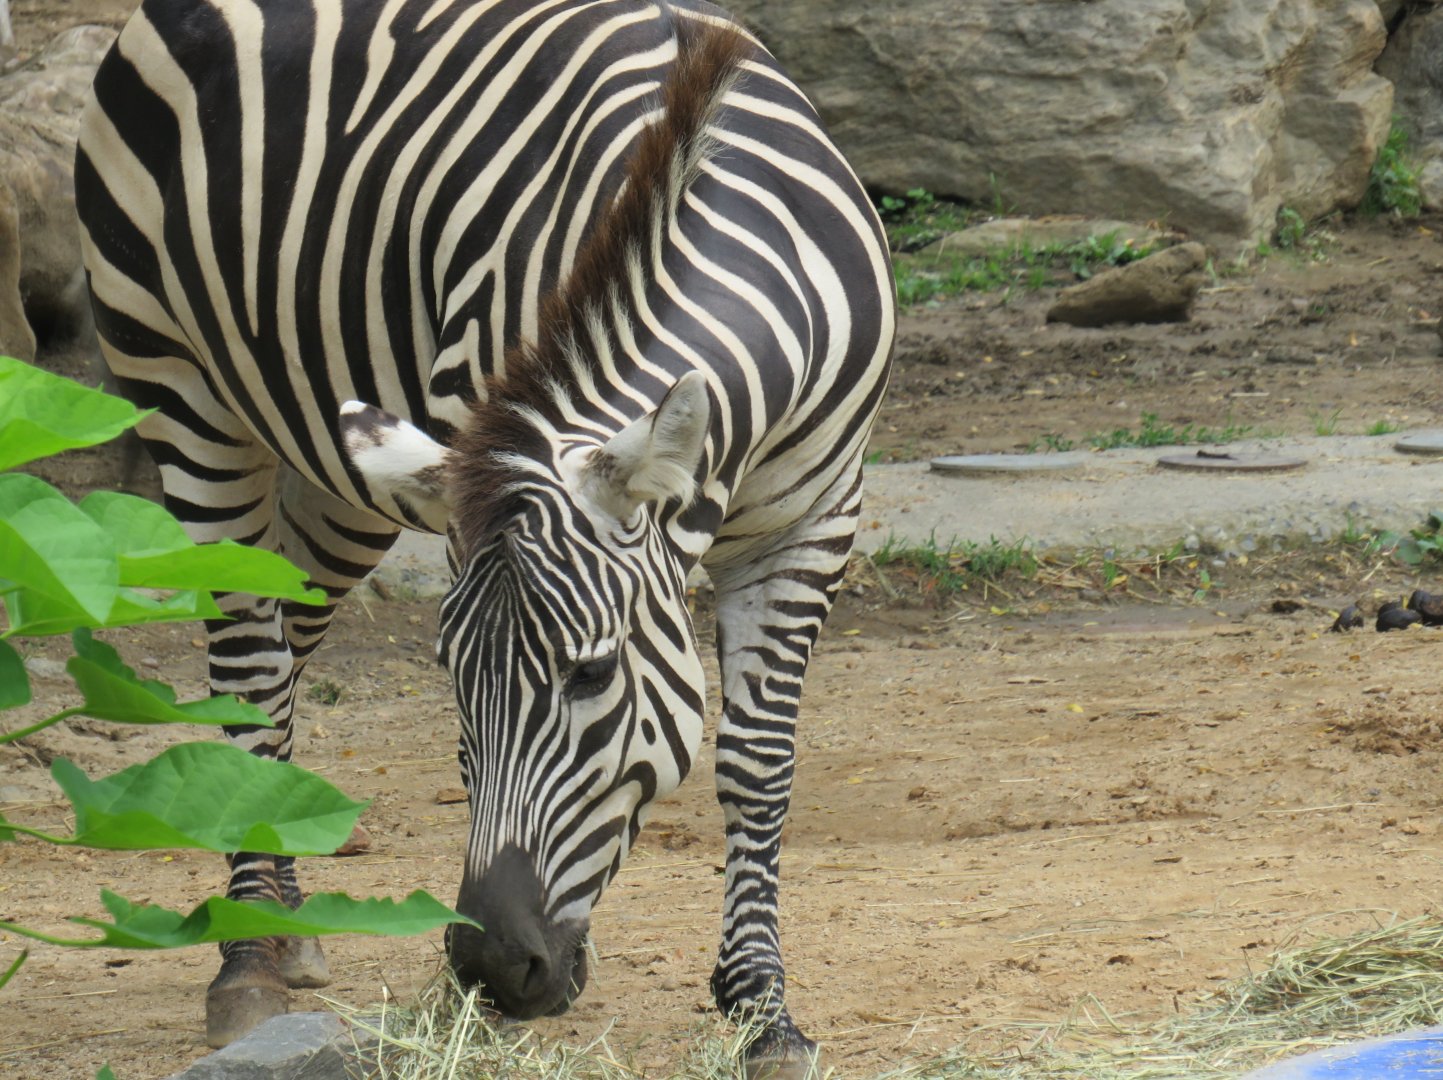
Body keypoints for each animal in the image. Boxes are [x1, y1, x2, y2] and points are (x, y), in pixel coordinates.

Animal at [77, 0, 894, 1073]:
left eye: (591, 674)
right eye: (450, 676)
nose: (497, 971)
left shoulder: (814, 521)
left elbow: (757, 764)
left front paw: (762, 1009)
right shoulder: (479, 448)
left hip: (344, 478)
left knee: (286, 641)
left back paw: (288, 912)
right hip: (187, 397)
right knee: (248, 664)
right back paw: (249, 953)